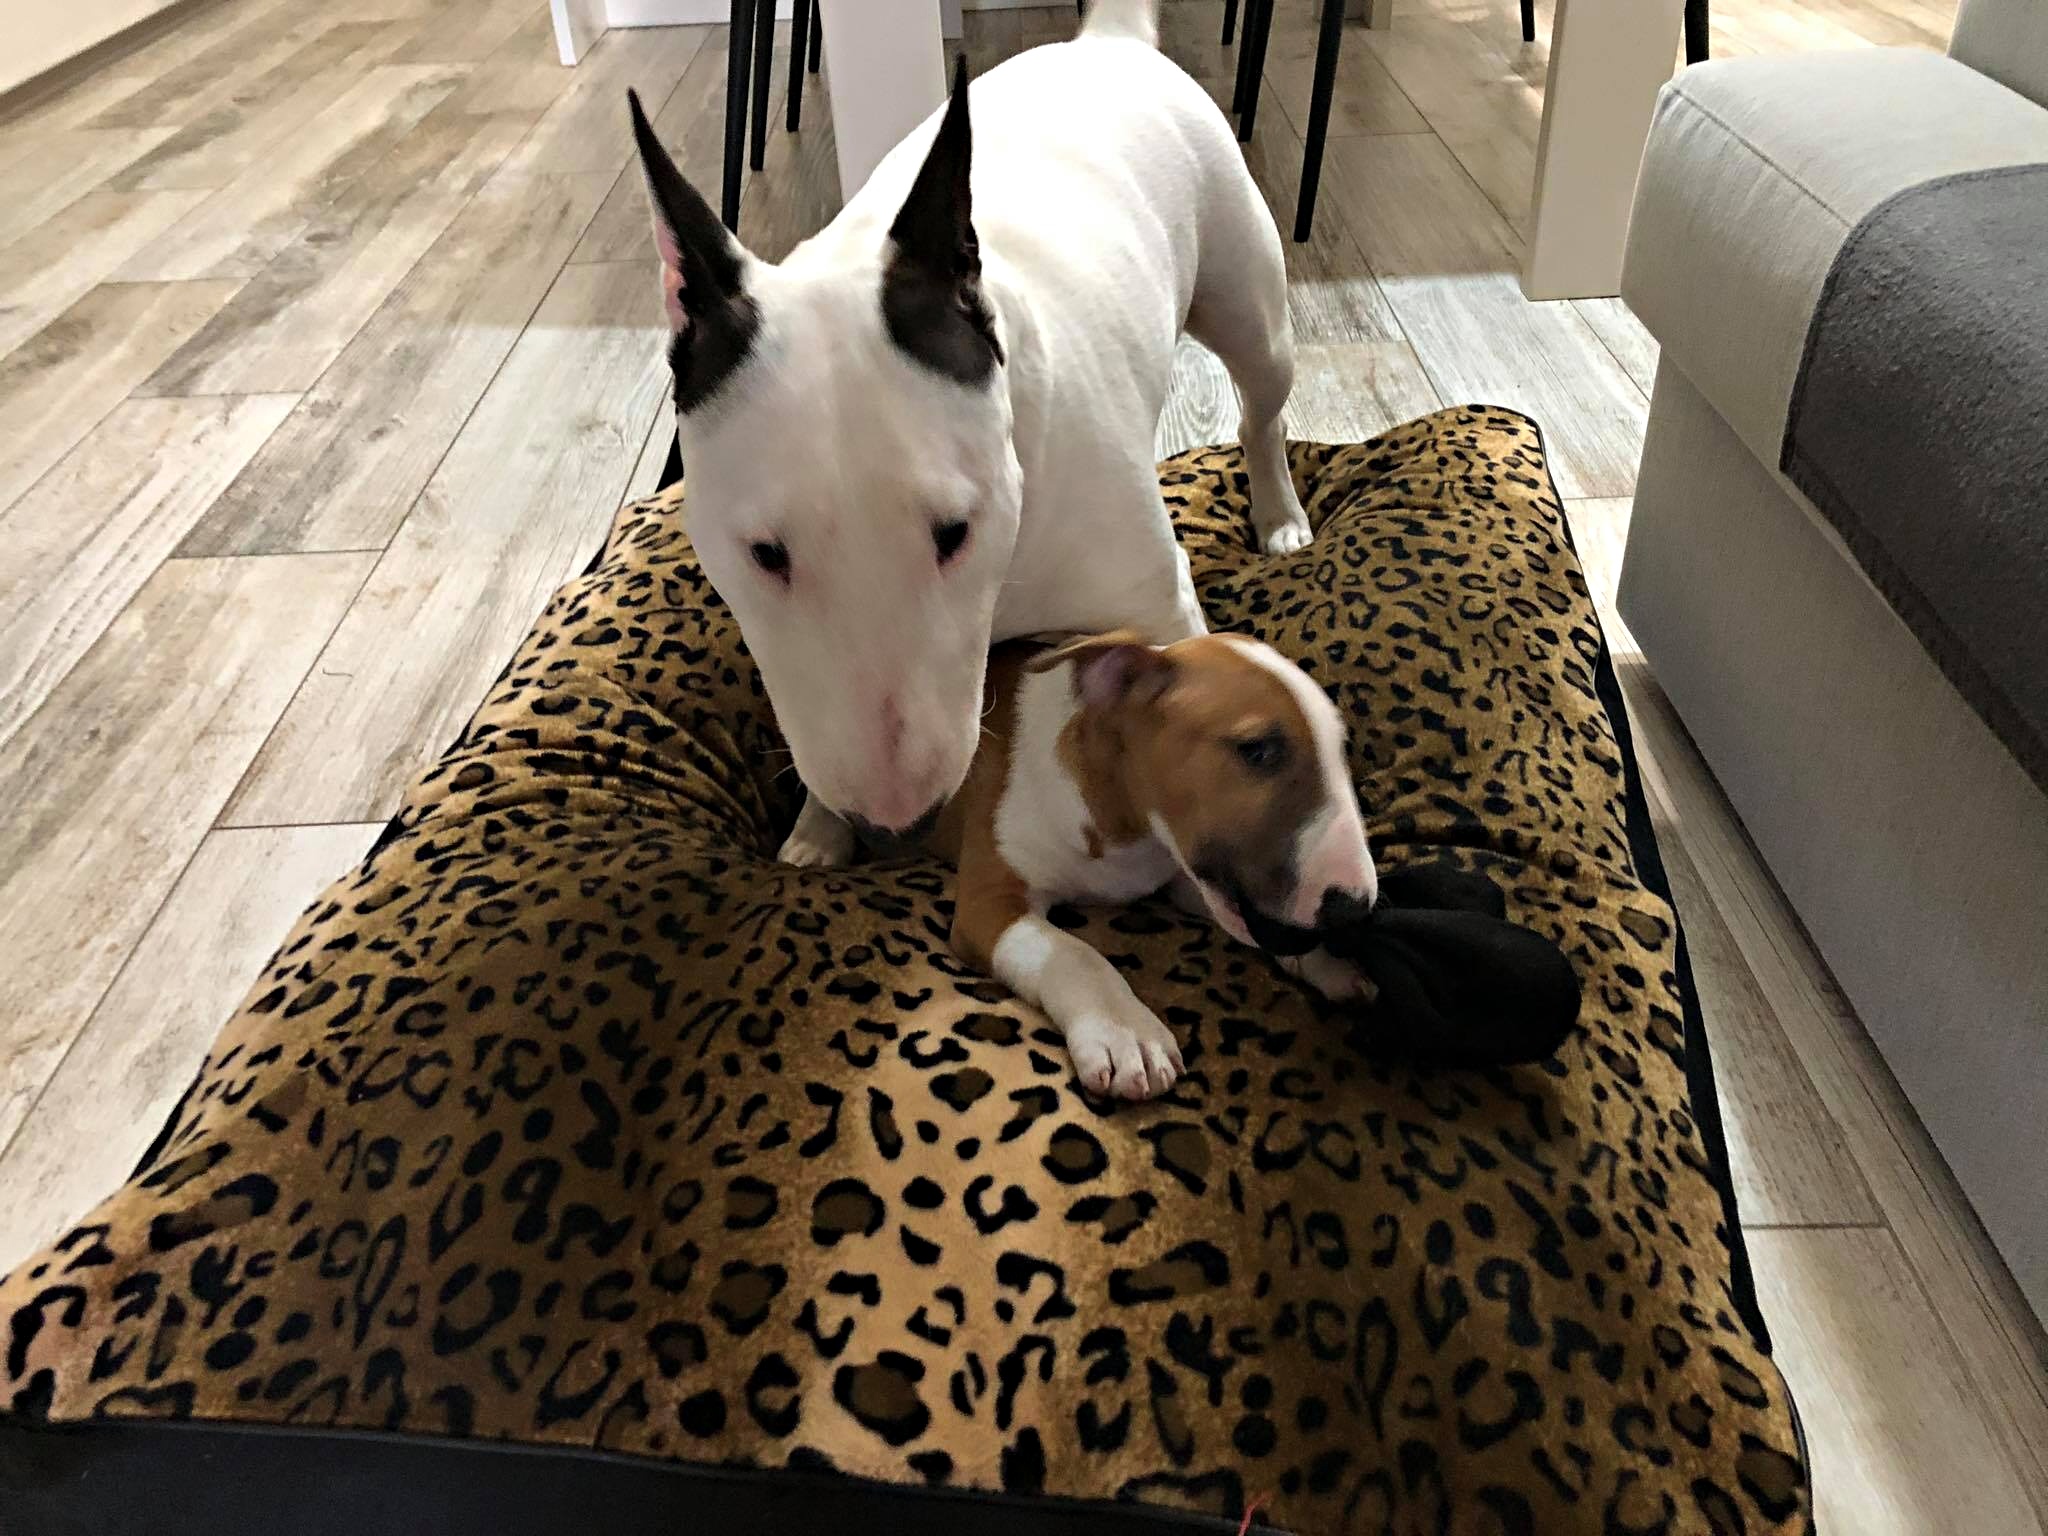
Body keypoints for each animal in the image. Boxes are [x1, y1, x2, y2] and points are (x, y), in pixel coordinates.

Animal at [627, 0, 1311, 866]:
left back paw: (1281, 515)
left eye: (955, 532)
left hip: (1249, 304)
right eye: (765, 555)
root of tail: (1107, 40)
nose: (892, 823)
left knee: (1262, 409)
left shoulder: (1160, 612)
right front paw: (816, 834)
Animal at [924, 630, 1378, 1100]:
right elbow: (1075, 953)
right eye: (1258, 751)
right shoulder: (991, 900)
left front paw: (1327, 963)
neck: (1123, 825)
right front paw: (1127, 1034)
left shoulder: (1184, 879)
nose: (1354, 908)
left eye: (1342, 751)